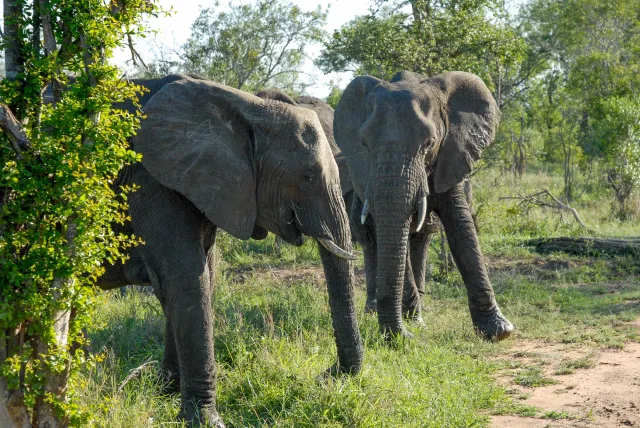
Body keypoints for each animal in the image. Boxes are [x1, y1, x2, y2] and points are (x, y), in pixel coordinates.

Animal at [97, 75, 362, 426]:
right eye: (306, 177)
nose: (330, 374)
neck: (247, 107)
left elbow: (200, 279)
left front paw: (166, 394)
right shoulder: (149, 181)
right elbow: (188, 278)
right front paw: (206, 420)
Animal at [336, 72, 516, 342]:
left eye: (429, 143)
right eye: (365, 144)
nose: (401, 336)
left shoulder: (451, 155)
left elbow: (461, 228)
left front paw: (499, 331)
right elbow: (388, 231)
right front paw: (412, 324)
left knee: (420, 237)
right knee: (371, 241)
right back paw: (382, 311)